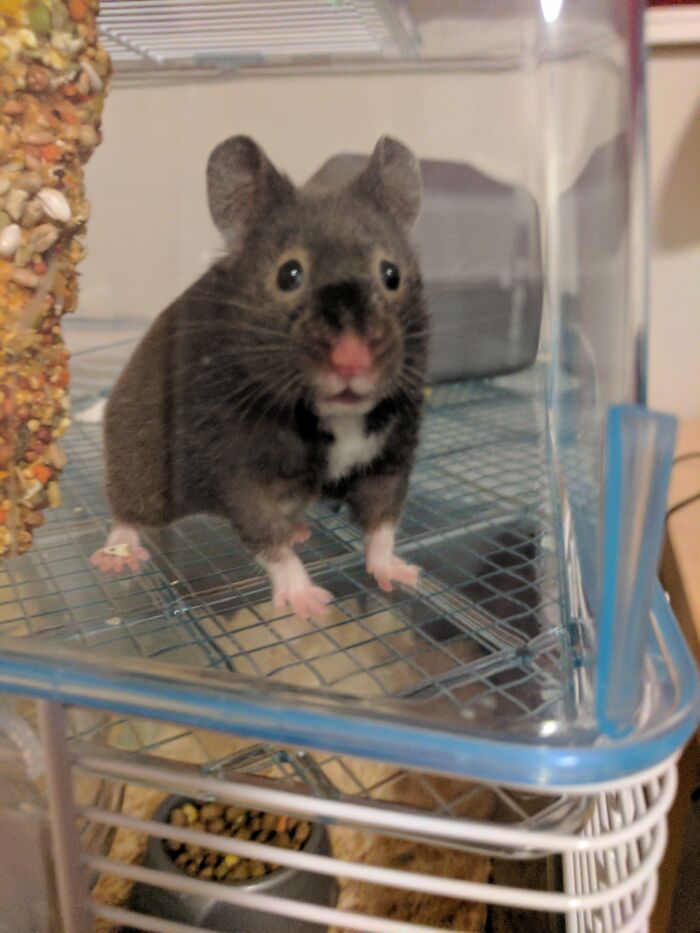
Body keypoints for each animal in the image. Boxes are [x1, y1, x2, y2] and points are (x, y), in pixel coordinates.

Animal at [90, 135, 429, 620]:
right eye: (289, 274)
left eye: (391, 274)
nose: (352, 361)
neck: (338, 417)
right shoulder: (244, 474)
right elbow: (269, 540)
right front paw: (310, 604)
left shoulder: (390, 457)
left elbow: (382, 523)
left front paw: (403, 575)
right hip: (143, 466)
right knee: (127, 511)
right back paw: (116, 558)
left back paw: (303, 530)